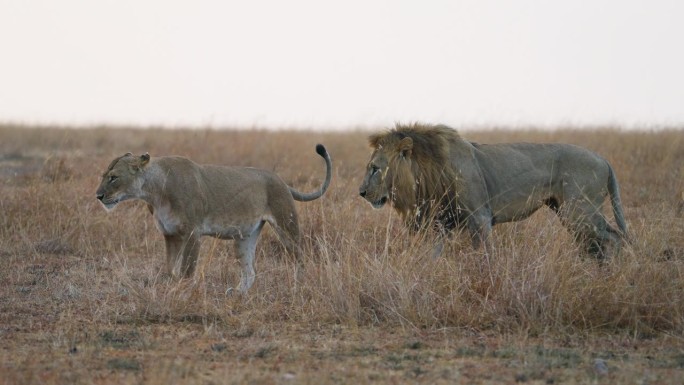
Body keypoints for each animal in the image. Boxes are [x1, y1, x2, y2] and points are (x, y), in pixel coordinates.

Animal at [95, 144, 332, 292]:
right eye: (104, 176)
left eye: (113, 177)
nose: (98, 196)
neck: (154, 192)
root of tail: (282, 181)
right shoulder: (170, 234)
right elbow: (170, 268)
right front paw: (172, 285)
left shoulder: (192, 233)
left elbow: (187, 270)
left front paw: (182, 292)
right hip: (244, 237)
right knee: (250, 272)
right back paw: (236, 294)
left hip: (286, 224)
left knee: (300, 259)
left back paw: (298, 287)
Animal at [360, 124, 628, 260]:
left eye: (375, 169)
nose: (361, 193)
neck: (426, 173)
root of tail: (603, 159)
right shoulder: (441, 222)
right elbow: (433, 255)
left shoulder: (479, 217)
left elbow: (483, 255)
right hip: (566, 210)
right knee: (599, 243)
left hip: (580, 211)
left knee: (614, 239)